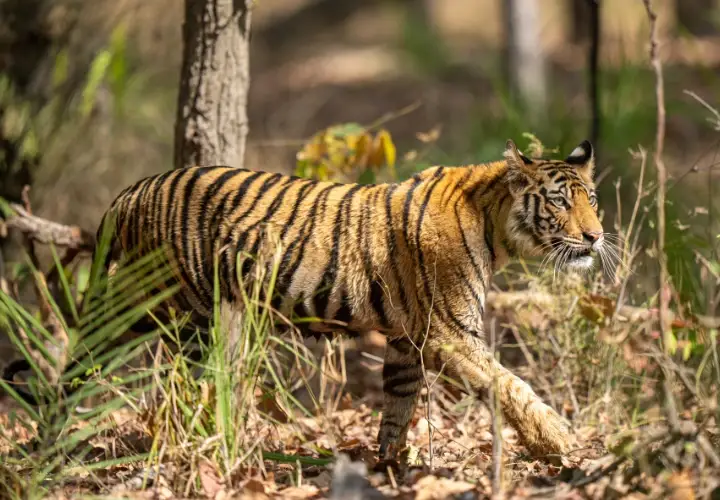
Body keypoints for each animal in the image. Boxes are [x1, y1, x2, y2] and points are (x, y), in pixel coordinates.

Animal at [18, 139, 607, 460]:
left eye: (593, 200)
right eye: (560, 202)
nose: (597, 236)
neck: (496, 226)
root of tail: (128, 192)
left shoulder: (407, 338)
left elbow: (398, 403)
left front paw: (389, 463)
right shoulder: (449, 333)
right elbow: (511, 386)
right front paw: (559, 441)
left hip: (191, 321)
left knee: (185, 383)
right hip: (141, 302)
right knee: (79, 359)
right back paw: (49, 436)